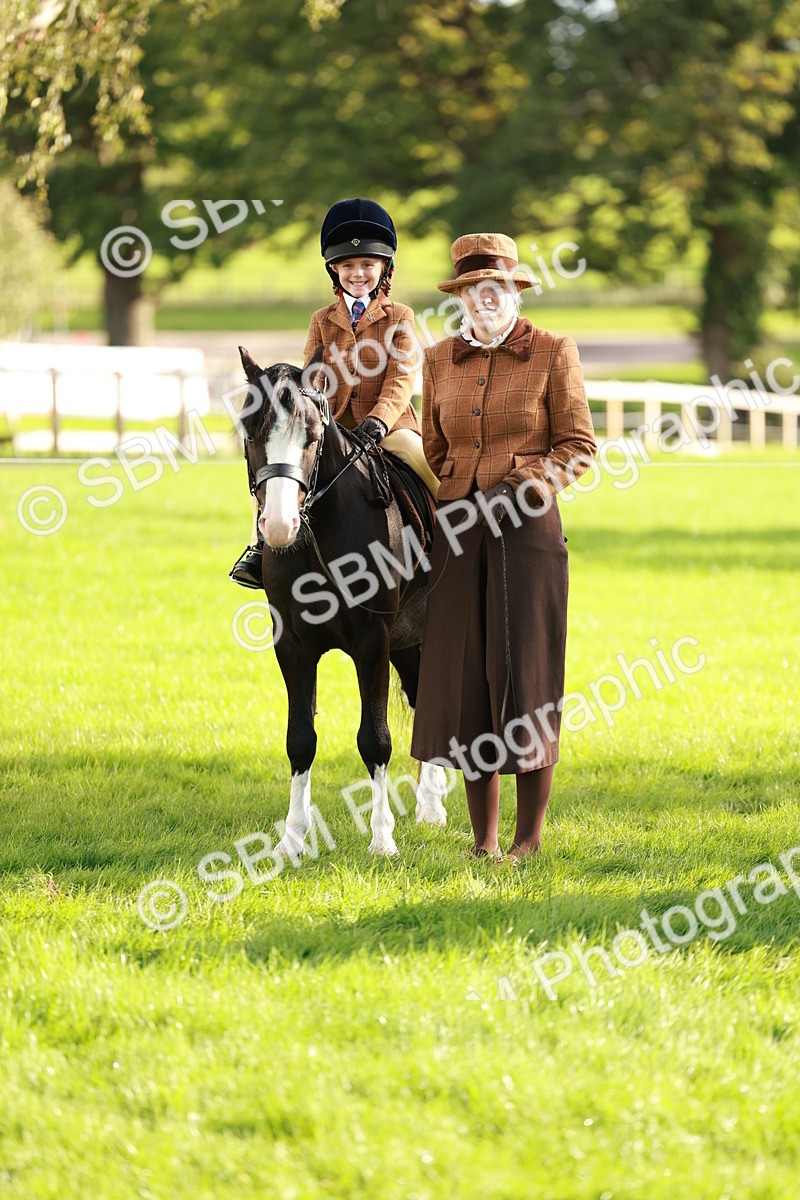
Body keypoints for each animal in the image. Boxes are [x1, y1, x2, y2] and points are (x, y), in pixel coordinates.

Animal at [235, 347, 449, 858]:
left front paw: (382, 839)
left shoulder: (372, 642)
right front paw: (292, 839)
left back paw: (433, 808)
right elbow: (300, 740)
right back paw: (429, 805)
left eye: (312, 436)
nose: (279, 526)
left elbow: (375, 739)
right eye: (251, 433)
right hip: (408, 644)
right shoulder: (292, 646)